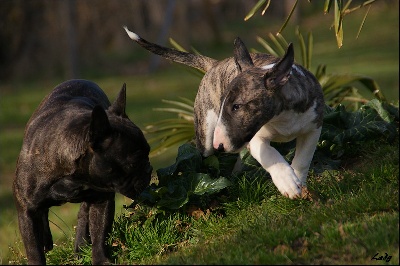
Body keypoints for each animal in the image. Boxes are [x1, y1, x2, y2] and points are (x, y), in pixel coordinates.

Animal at [13, 79, 152, 264]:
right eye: (134, 163)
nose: (149, 169)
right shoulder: (26, 209)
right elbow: (33, 247)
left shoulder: (102, 199)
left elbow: (100, 232)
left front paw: (100, 259)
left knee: (83, 215)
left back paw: (80, 246)